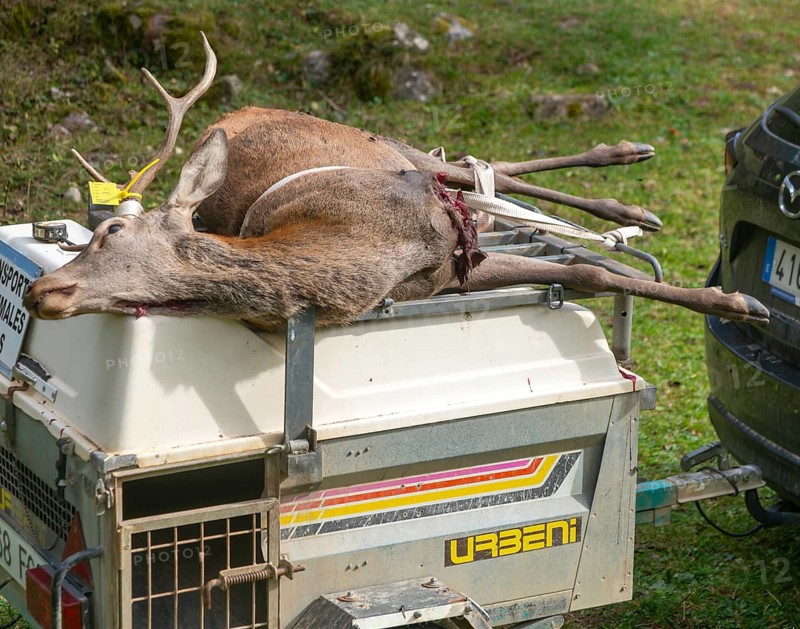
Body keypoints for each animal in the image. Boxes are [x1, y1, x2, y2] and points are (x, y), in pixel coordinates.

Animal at [23, 34, 769, 329]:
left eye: (112, 232)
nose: (40, 291)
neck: (370, 250)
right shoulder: (447, 274)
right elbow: (586, 272)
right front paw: (732, 301)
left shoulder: (436, 225)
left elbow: (591, 270)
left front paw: (737, 303)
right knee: (488, 175)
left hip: (400, 150)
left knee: (472, 163)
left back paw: (631, 178)